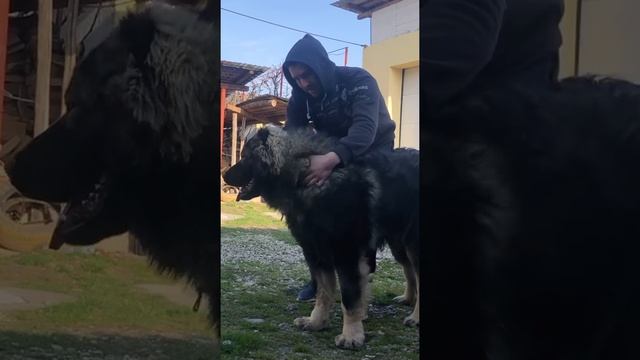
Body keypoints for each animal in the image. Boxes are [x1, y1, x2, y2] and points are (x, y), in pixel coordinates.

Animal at [221, 126, 420, 348]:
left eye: (247, 157)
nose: (224, 174)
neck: (303, 177)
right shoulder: (316, 252)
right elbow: (323, 292)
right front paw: (316, 322)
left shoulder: (347, 255)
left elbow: (350, 297)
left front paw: (351, 335)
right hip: (399, 244)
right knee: (411, 272)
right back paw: (408, 299)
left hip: (413, 244)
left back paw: (416, 317)